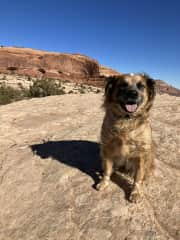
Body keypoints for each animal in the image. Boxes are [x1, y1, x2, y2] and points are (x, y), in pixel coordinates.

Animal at [96, 72, 155, 202]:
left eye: (141, 86)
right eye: (123, 85)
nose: (133, 93)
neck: (127, 120)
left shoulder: (141, 152)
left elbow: (138, 176)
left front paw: (136, 192)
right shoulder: (107, 147)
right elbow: (107, 168)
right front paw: (104, 182)